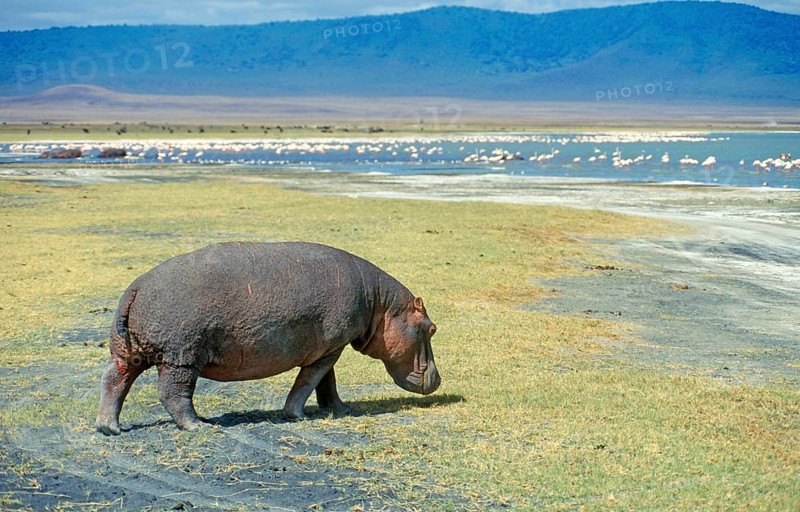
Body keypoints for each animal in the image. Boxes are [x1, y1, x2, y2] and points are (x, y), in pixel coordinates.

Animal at [96, 242, 440, 435]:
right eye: (432, 328)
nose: (438, 379)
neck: (381, 304)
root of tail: (137, 286)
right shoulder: (330, 348)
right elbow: (309, 381)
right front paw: (297, 415)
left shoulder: (331, 346)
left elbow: (327, 381)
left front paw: (340, 410)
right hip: (181, 356)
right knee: (173, 393)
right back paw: (198, 426)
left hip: (130, 352)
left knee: (115, 379)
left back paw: (109, 428)